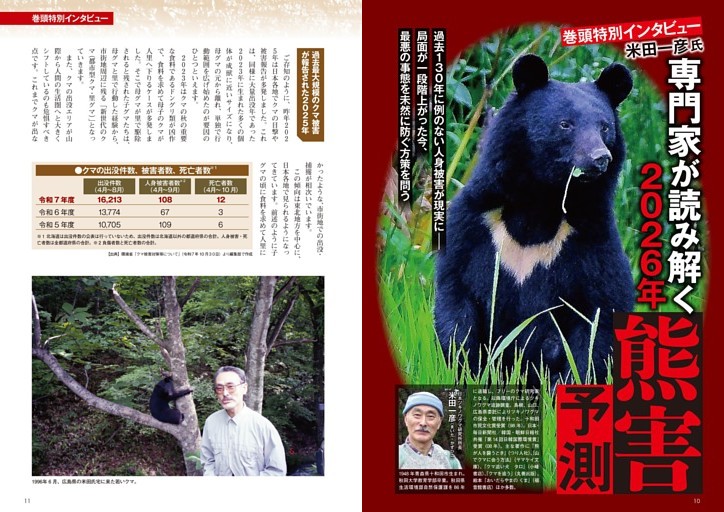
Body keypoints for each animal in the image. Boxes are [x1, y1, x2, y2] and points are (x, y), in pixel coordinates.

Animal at [434, 54, 634, 386]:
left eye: (605, 128)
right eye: (565, 124)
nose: (599, 158)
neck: (542, 200)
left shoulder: (593, 236)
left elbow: (600, 314)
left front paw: (574, 383)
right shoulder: (472, 225)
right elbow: (456, 294)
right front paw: (465, 367)